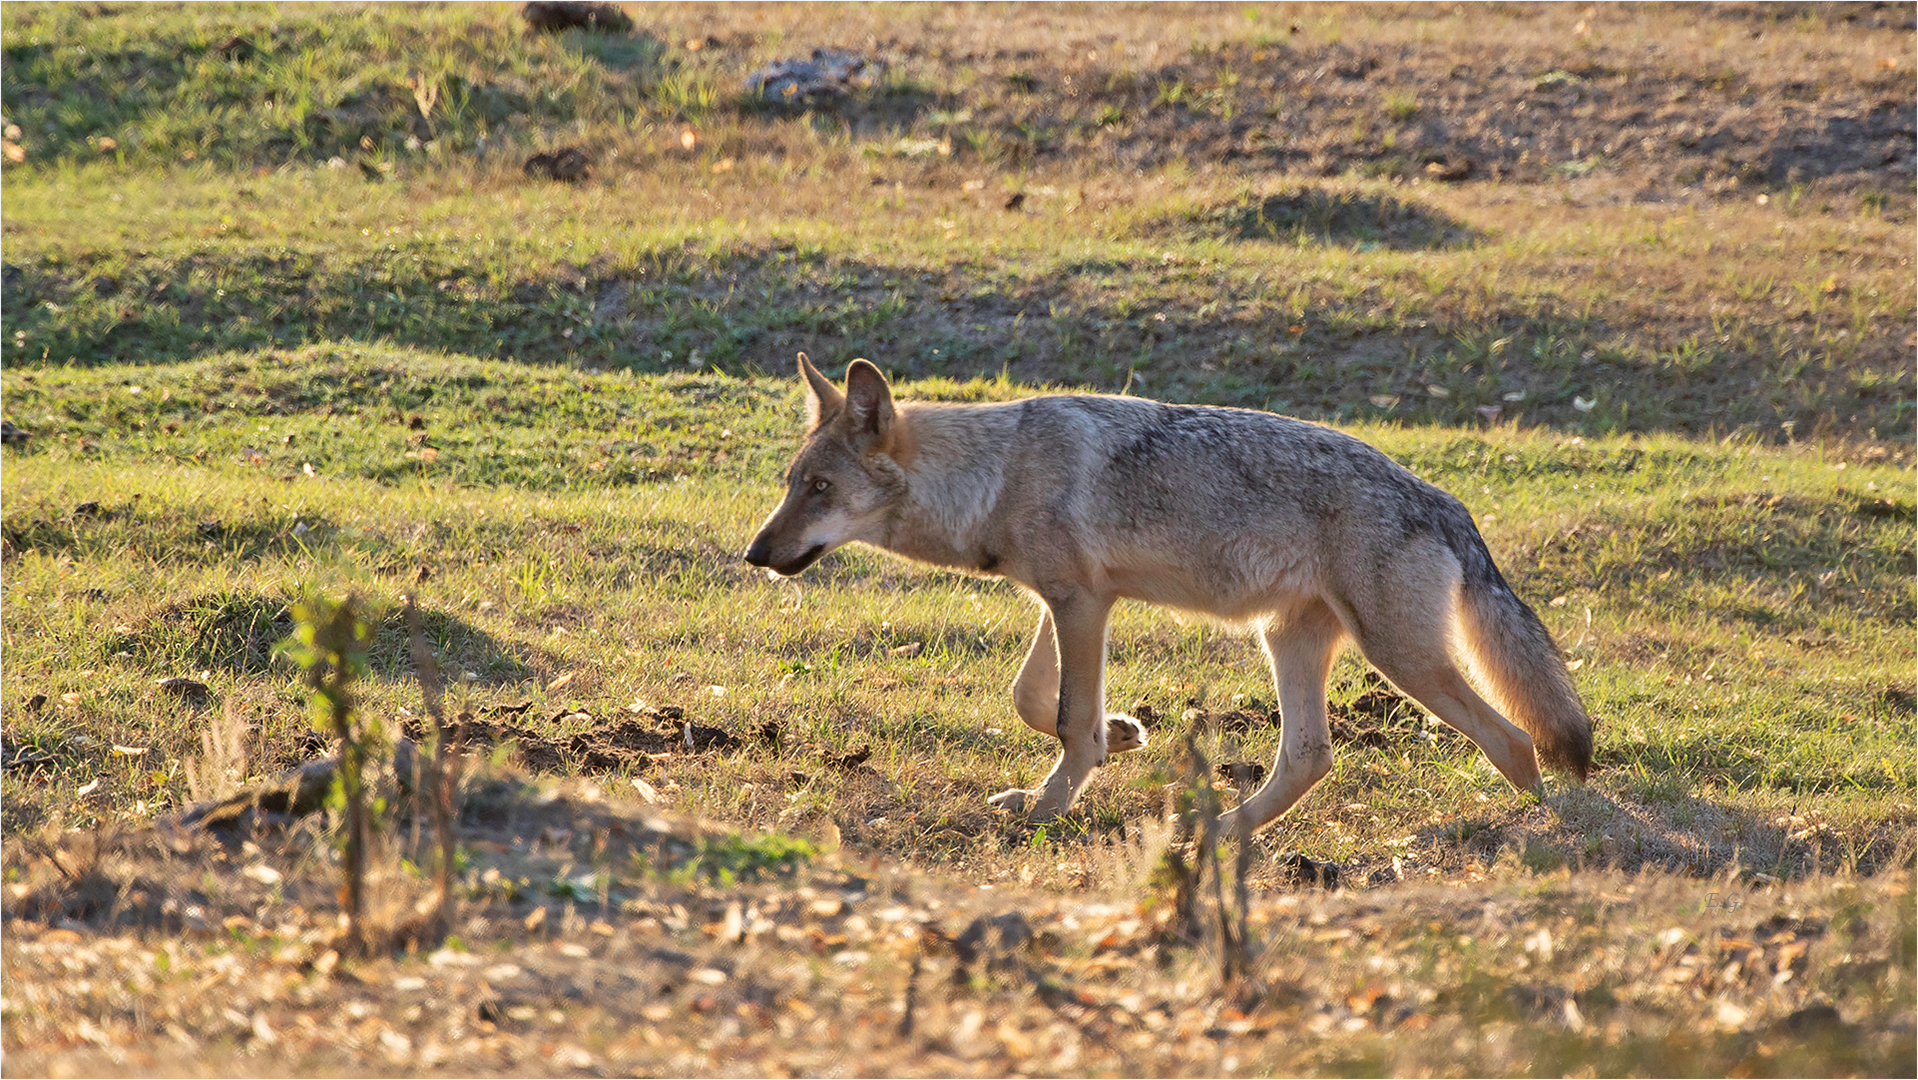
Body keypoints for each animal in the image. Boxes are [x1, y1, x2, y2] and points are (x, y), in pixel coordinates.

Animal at [740, 356, 1595, 836]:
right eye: (790, 484)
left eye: (820, 490)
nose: (754, 553)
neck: (997, 473)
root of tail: (1448, 503)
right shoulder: (1072, 600)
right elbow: (1033, 698)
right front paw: (1121, 736)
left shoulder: (1081, 604)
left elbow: (1064, 718)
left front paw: (1050, 807)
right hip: (1291, 642)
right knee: (1311, 758)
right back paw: (1216, 831)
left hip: (1402, 660)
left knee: (1514, 740)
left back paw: (1557, 830)